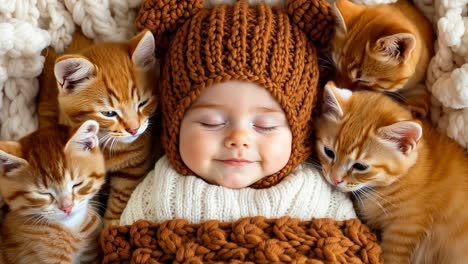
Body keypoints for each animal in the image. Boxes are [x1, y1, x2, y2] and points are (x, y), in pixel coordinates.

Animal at [37, 29, 161, 227]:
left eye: (142, 103)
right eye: (109, 113)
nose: (134, 129)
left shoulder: (134, 167)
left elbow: (120, 200)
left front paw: (110, 227)